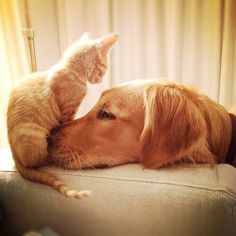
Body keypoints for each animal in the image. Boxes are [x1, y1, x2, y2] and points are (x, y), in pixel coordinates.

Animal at [6, 32, 118, 199]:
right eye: (104, 68)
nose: (100, 80)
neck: (72, 71)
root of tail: (15, 158)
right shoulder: (67, 111)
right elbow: (64, 126)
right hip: (33, 134)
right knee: (37, 162)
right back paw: (51, 154)